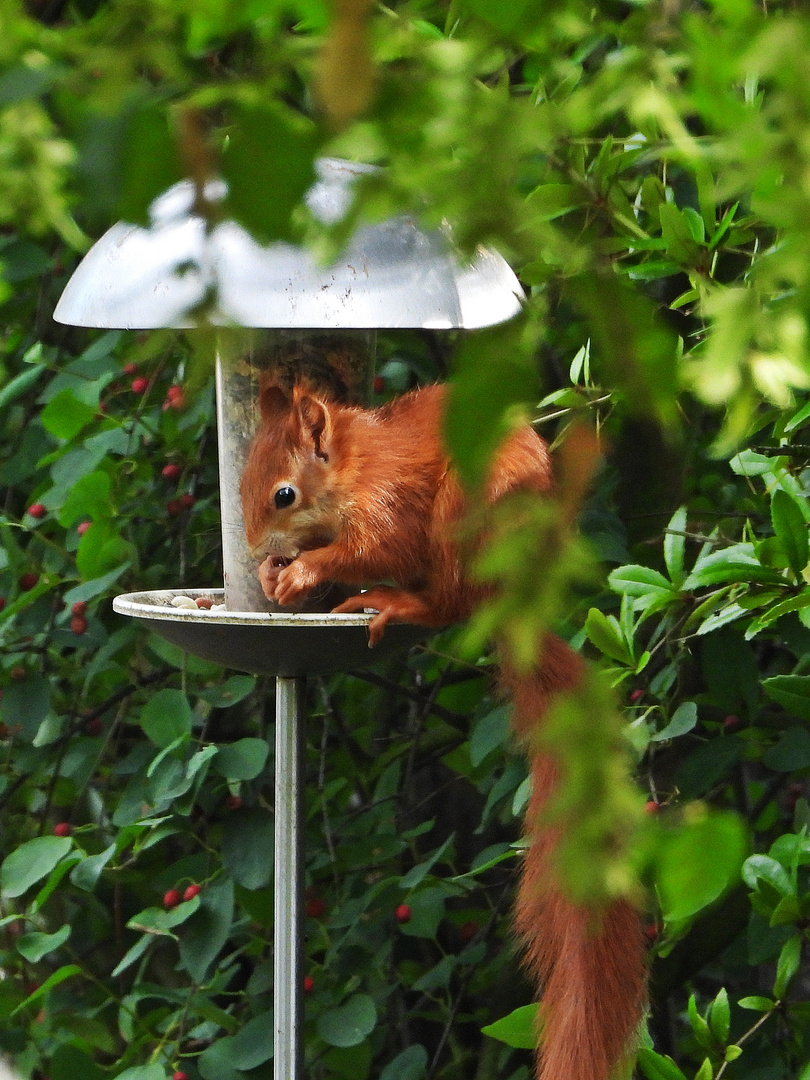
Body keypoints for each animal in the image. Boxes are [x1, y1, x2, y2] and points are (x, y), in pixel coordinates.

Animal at [239, 378, 648, 1080]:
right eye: (241, 480)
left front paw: (302, 569)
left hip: (464, 514)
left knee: (446, 601)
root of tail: (512, 601)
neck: (350, 468)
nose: (251, 547)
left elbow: (375, 547)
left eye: (284, 495)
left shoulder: (389, 503)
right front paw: (276, 572)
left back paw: (398, 602)